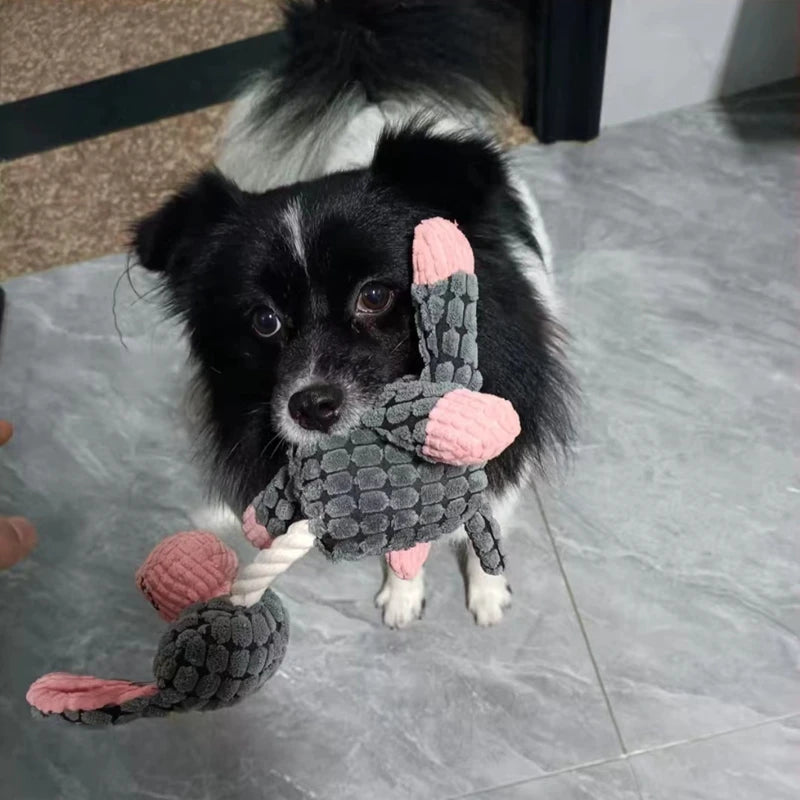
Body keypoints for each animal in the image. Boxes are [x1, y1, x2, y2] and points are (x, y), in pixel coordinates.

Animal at [136, 0, 576, 628]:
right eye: (264, 321)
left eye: (374, 296)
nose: (311, 406)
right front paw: (403, 594)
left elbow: (483, 522)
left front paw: (488, 592)